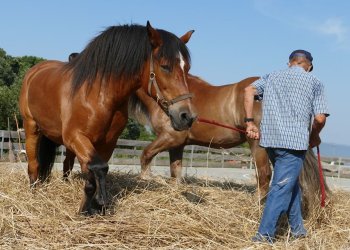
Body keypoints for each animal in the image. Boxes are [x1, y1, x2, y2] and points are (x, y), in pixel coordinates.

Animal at [19, 21, 197, 214]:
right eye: (165, 66)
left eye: (187, 68)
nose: (187, 116)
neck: (99, 94)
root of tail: (34, 71)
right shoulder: (75, 136)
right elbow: (99, 168)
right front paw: (96, 204)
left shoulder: (108, 143)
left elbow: (94, 173)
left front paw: (91, 208)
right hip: (32, 128)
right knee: (34, 165)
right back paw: (34, 195)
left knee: (67, 164)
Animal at [128, 74, 328, 213]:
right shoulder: (178, 144)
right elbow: (175, 173)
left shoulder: (171, 137)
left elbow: (145, 155)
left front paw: (144, 181)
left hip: (258, 145)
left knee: (264, 175)